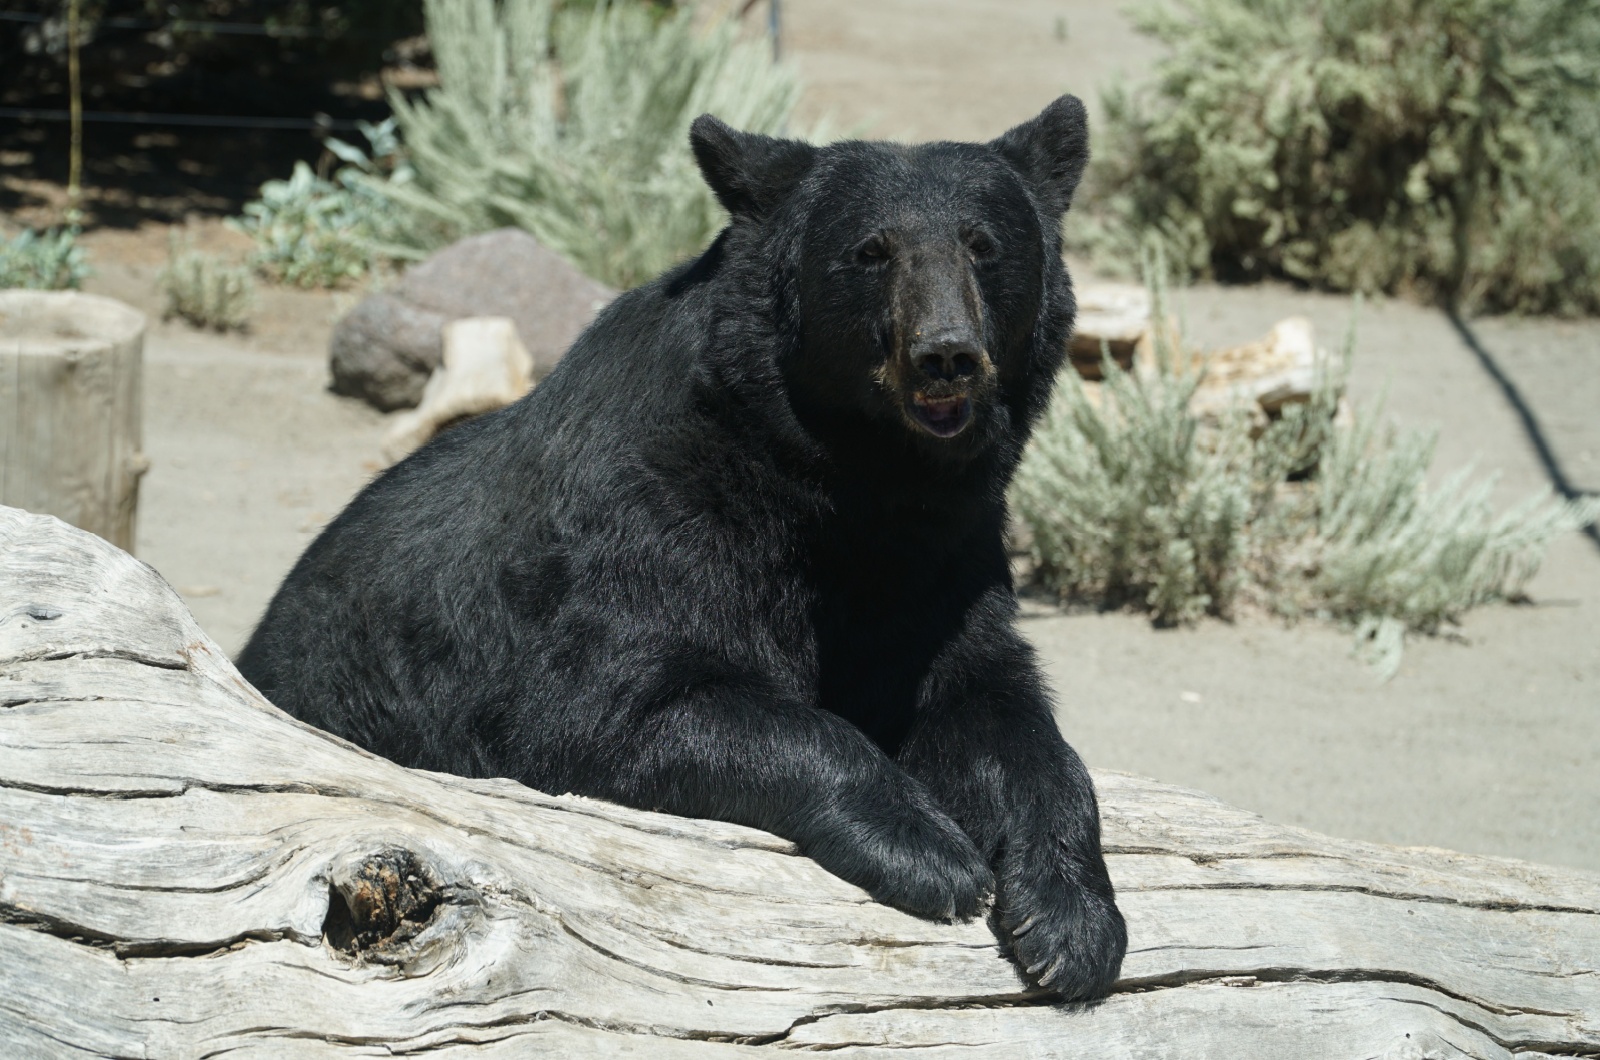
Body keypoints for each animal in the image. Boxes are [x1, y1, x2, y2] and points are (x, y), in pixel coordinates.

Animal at [243, 95, 1132, 999]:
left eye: (984, 245)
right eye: (871, 251)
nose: (946, 355)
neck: (848, 478)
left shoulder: (945, 550)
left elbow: (990, 702)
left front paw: (1071, 921)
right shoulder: (653, 514)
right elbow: (618, 706)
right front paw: (931, 850)